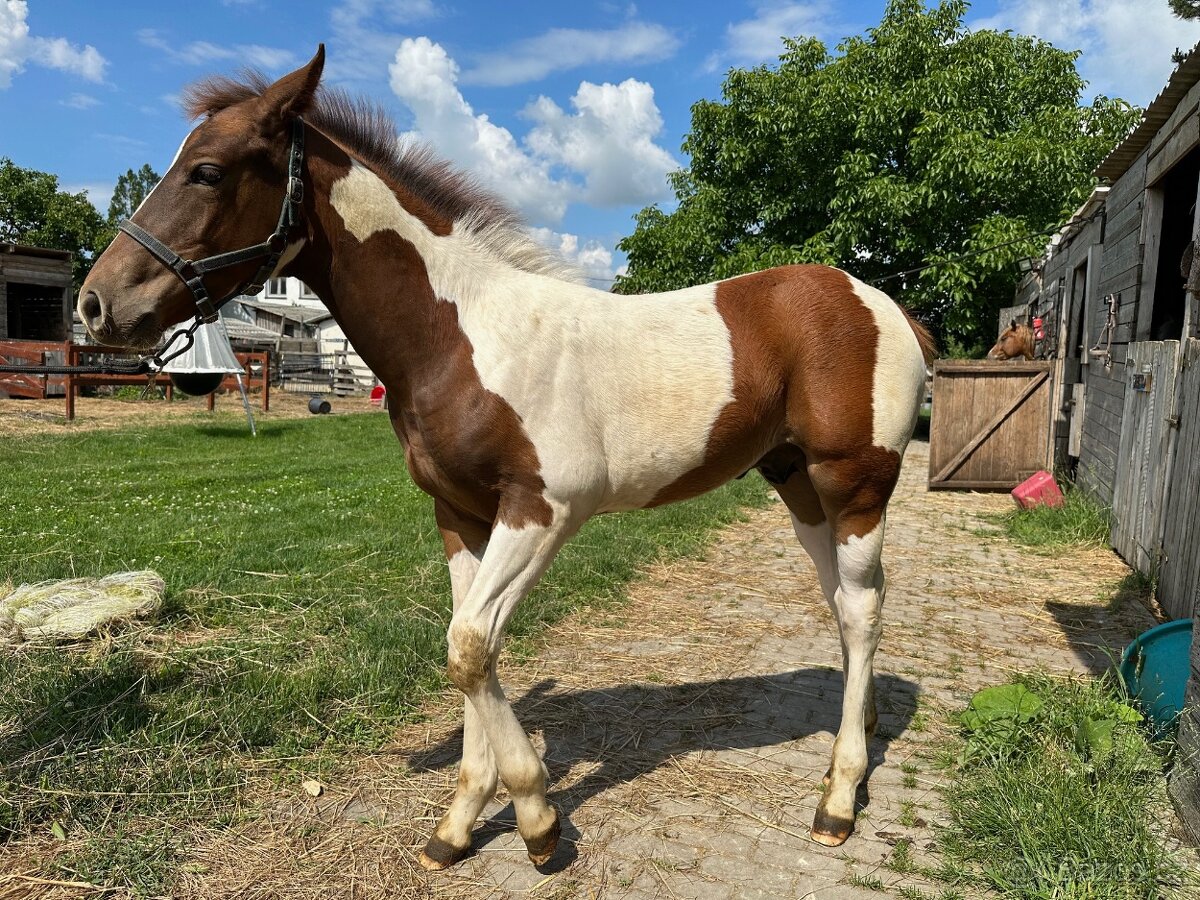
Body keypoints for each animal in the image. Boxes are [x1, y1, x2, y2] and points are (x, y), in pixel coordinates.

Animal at [77, 47, 935, 870]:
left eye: (208, 171)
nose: (96, 303)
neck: (463, 336)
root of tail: (884, 304)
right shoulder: (460, 515)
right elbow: (470, 648)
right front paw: (459, 824)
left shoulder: (543, 510)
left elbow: (467, 647)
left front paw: (536, 817)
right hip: (796, 484)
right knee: (843, 604)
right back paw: (853, 745)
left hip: (853, 485)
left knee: (861, 609)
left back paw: (839, 798)